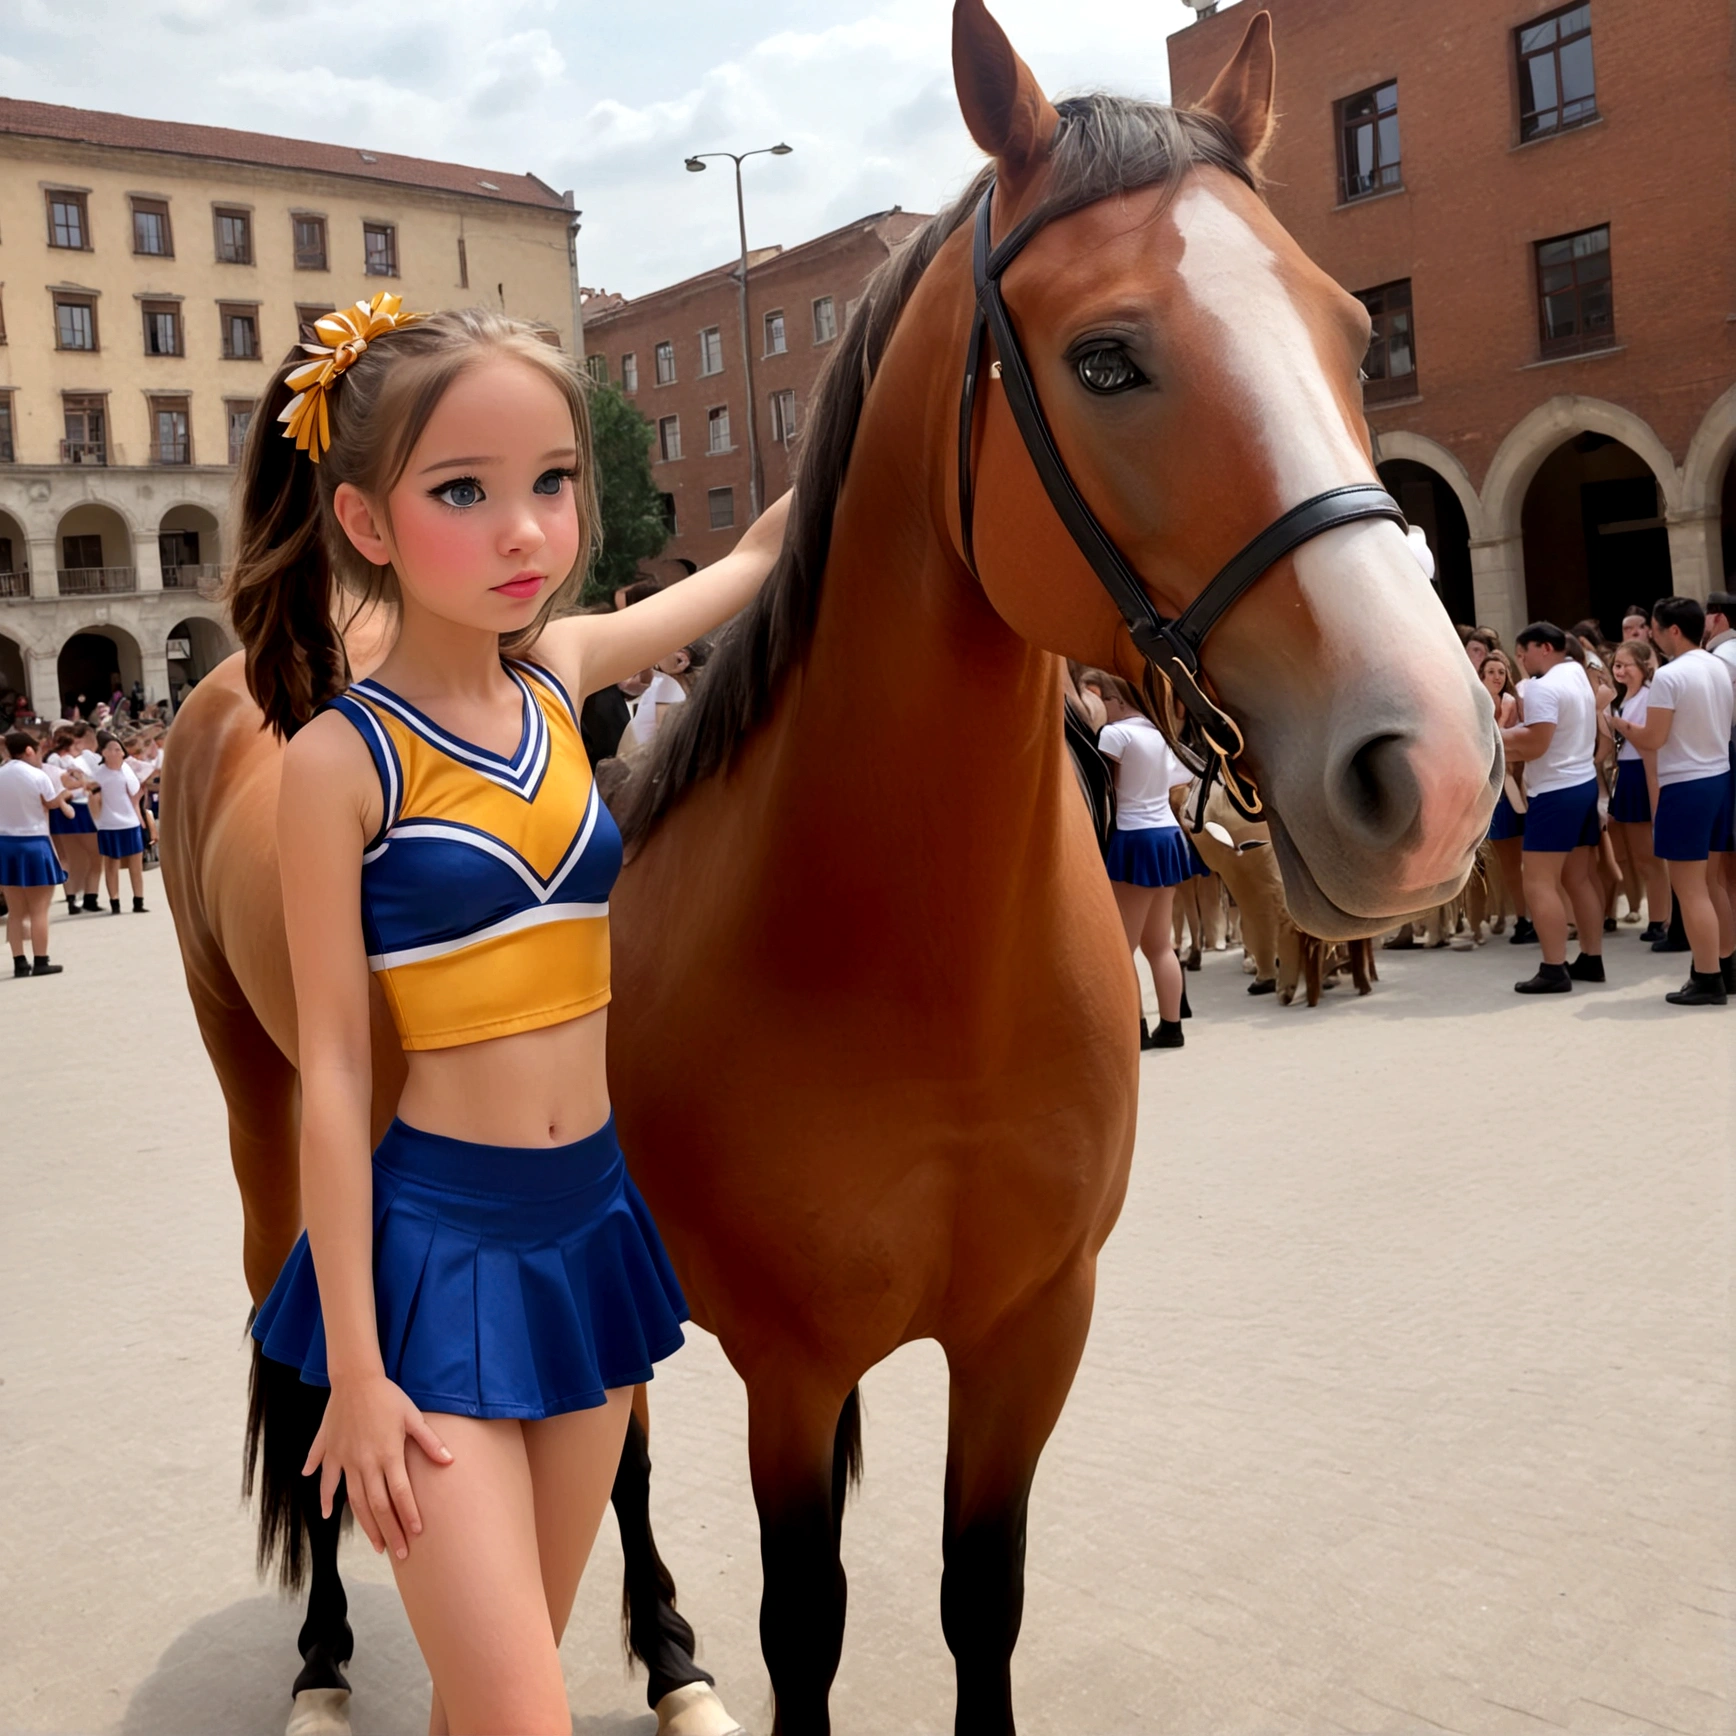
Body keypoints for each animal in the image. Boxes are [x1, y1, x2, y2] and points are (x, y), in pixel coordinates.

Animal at [607, 6, 1492, 1729]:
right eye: (1106, 358)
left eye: (1358, 336)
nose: (1430, 765)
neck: (919, 972)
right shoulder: (787, 1364)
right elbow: (804, 1629)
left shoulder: (1032, 1332)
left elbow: (982, 1603)